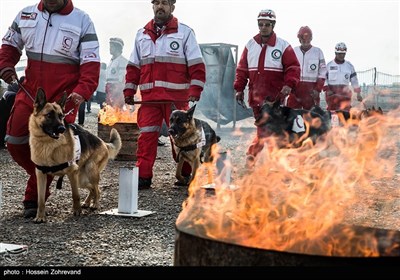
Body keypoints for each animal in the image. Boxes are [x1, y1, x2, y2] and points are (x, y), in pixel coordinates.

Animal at [28, 88, 122, 222]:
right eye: (49, 115)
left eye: (61, 116)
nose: (62, 129)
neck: (48, 144)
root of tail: (103, 142)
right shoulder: (41, 175)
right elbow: (40, 199)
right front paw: (40, 217)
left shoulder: (72, 173)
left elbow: (75, 195)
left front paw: (77, 211)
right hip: (81, 179)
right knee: (93, 189)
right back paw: (87, 202)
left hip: (89, 171)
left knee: (97, 189)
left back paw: (95, 204)